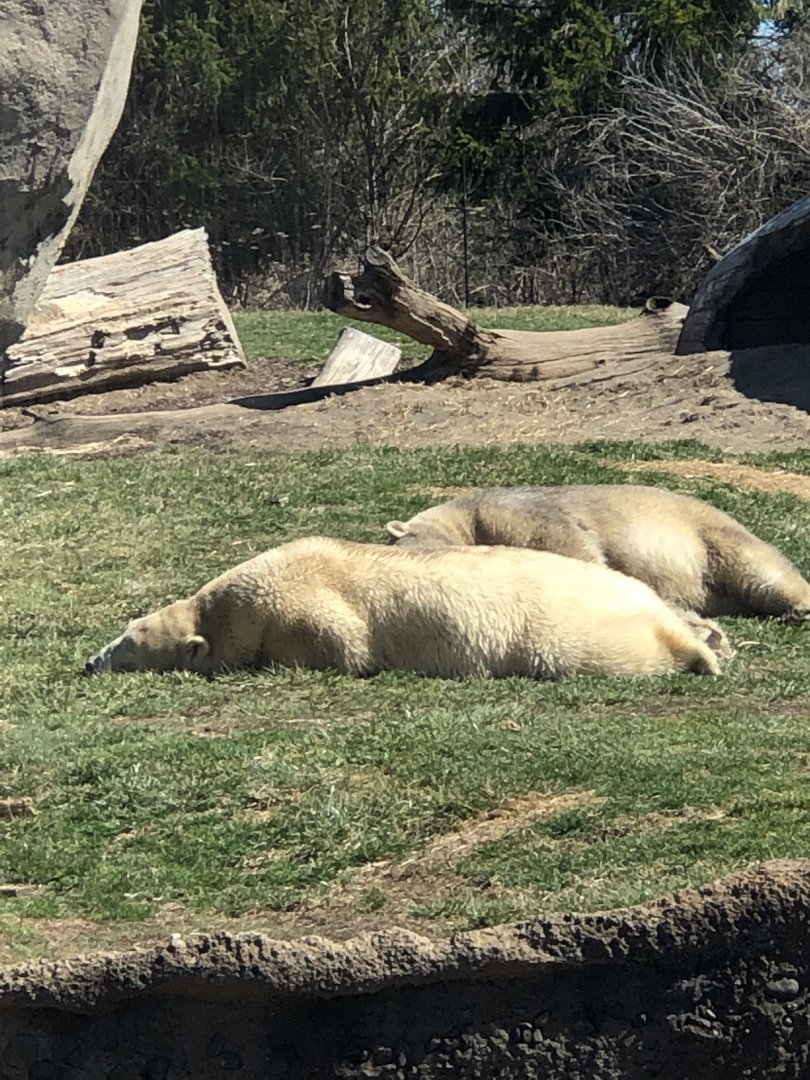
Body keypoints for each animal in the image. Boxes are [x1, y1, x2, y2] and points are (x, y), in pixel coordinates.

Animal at [386, 485, 810, 620]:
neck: (463, 516)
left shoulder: (508, 512)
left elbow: (568, 542)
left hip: (710, 536)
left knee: (758, 567)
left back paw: (798, 606)